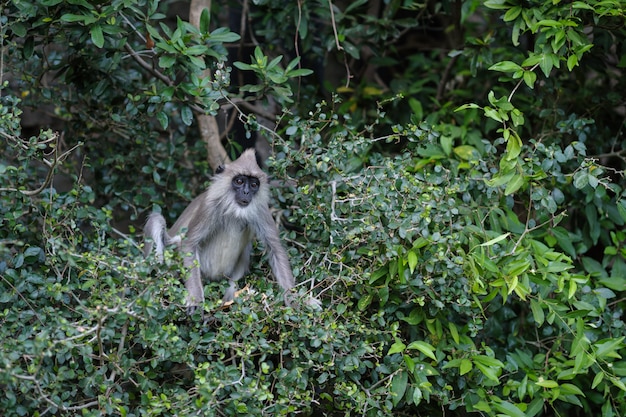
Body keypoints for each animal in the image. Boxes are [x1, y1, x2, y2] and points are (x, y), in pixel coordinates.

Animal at [144, 148, 294, 310]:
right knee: (157, 220)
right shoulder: (210, 205)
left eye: (254, 184)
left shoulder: (260, 208)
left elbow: (276, 250)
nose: (246, 192)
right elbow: (189, 244)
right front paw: (196, 300)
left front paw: (296, 303)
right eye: (239, 181)